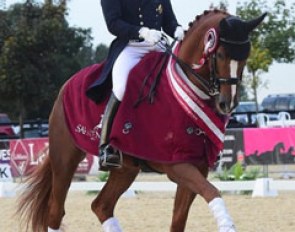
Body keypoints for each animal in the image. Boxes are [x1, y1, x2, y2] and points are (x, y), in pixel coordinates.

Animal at [17, 10, 268, 232]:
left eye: (245, 56)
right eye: (221, 55)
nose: (228, 104)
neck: (182, 94)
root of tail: (65, 86)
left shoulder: (198, 166)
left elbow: (179, 221)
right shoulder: (176, 165)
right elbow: (213, 192)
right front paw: (227, 226)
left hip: (125, 168)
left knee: (101, 205)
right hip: (65, 159)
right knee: (56, 212)